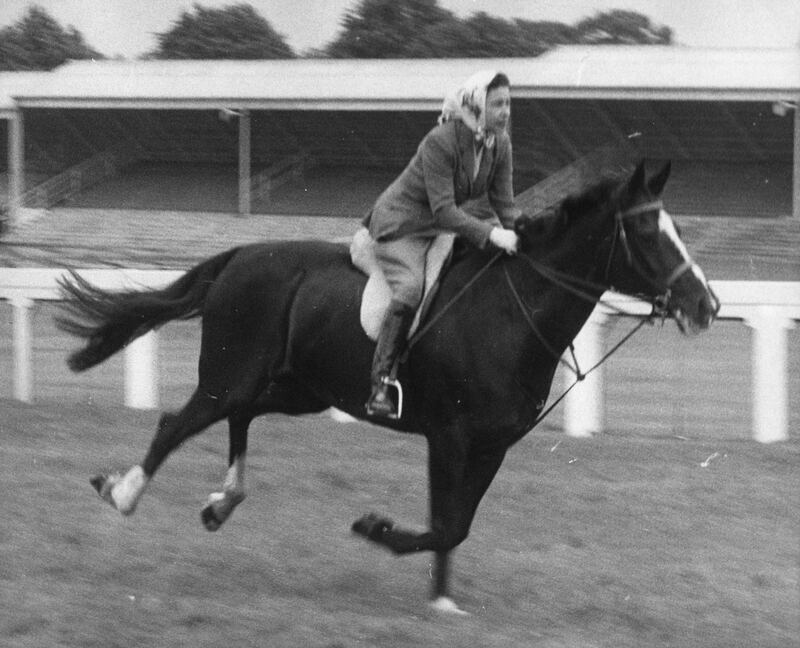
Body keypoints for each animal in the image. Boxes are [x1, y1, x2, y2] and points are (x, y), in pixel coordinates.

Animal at [56, 161, 720, 612]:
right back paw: (123, 492)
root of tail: (238, 256)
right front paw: (375, 529)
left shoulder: (492, 445)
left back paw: (223, 501)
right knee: (177, 423)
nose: (707, 305)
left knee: (240, 419)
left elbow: (458, 523)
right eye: (650, 234)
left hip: (293, 389)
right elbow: (446, 522)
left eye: (677, 228)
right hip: (230, 376)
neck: (509, 312)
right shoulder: (449, 436)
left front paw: (441, 599)